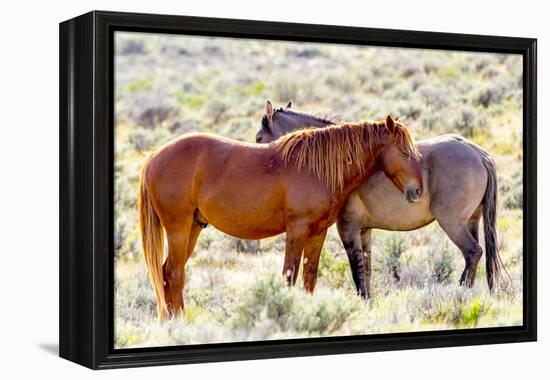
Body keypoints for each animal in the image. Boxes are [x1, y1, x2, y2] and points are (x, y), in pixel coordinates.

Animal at [140, 114, 424, 320]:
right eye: (405, 152)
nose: (417, 191)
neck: (315, 167)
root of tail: (154, 156)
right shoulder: (296, 230)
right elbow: (290, 275)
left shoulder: (318, 232)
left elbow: (309, 276)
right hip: (178, 229)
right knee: (175, 273)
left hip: (193, 228)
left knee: (166, 272)